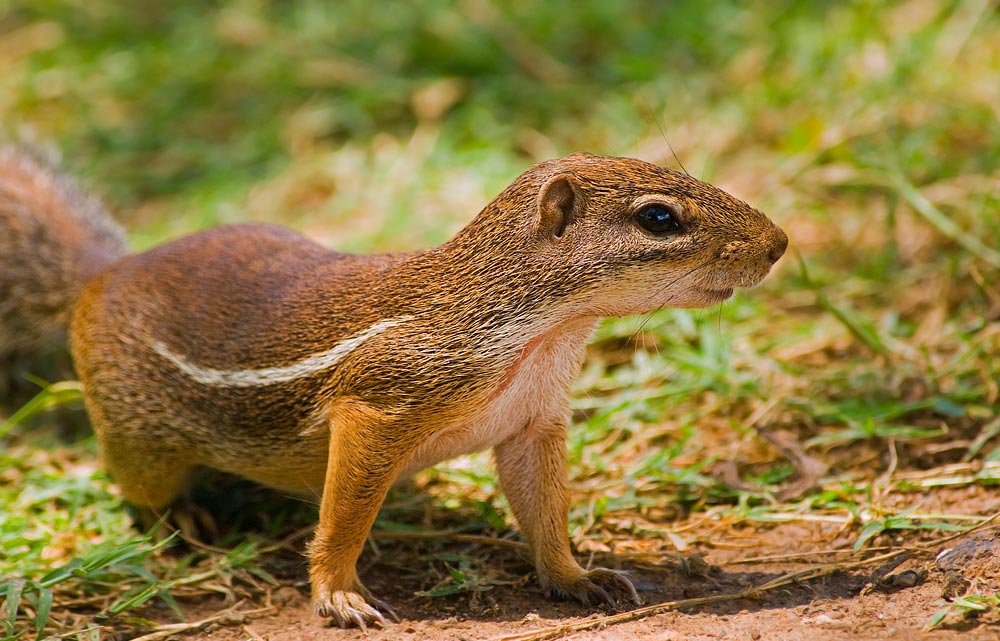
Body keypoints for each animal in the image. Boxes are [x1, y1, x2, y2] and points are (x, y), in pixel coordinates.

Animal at [0, 146, 788, 624]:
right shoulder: (380, 403)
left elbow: (544, 510)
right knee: (142, 490)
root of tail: (101, 273)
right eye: (659, 217)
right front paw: (341, 594)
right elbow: (344, 514)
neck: (541, 335)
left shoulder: (534, 423)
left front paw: (578, 577)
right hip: (139, 442)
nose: (780, 244)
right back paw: (185, 523)